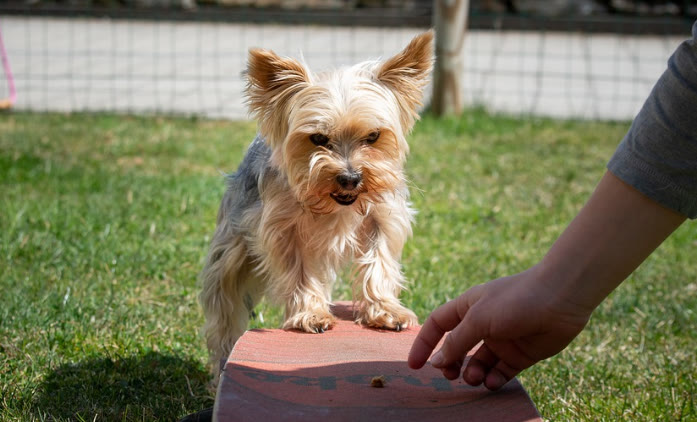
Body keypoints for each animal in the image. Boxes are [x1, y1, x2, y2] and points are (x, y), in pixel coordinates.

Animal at [198, 29, 432, 372]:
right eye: (318, 139)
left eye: (373, 136)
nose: (350, 178)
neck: (334, 204)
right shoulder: (282, 228)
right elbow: (298, 271)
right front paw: (310, 314)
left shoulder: (383, 214)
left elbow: (379, 259)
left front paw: (385, 310)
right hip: (231, 248)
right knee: (224, 304)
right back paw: (221, 366)